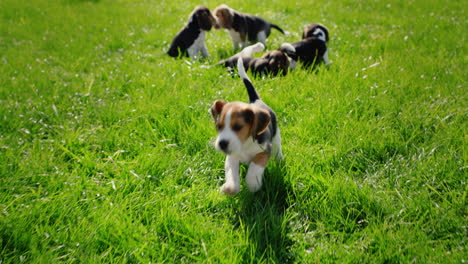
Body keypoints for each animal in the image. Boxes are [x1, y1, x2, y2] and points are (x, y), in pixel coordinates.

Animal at [211, 57, 284, 194]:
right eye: (218, 127)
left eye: (238, 127)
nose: (222, 144)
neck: (244, 144)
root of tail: (255, 100)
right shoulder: (232, 157)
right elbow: (231, 174)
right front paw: (228, 188)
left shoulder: (264, 151)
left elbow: (255, 165)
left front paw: (253, 183)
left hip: (276, 136)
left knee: (278, 149)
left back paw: (280, 160)